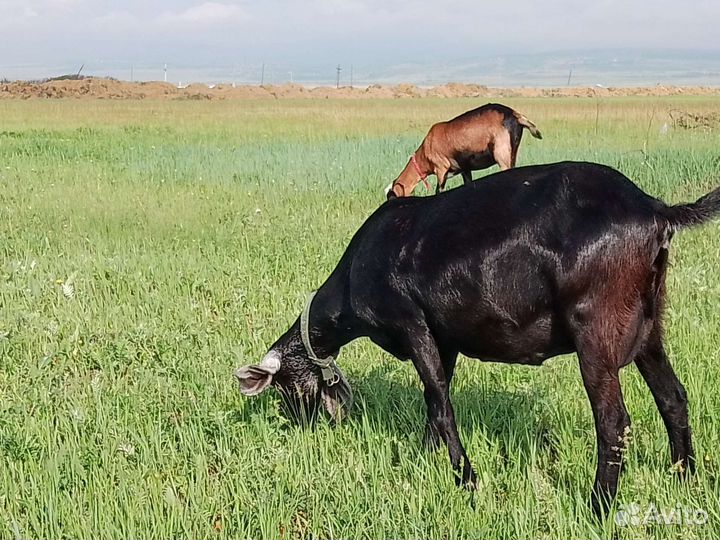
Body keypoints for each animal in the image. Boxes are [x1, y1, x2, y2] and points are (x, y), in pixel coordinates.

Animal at [236, 161, 720, 517]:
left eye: (285, 388)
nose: (302, 424)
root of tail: (654, 210)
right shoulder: (442, 337)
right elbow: (435, 399)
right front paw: (424, 462)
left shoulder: (412, 322)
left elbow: (439, 401)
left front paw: (466, 480)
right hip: (648, 323)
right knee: (673, 397)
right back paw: (684, 478)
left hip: (596, 329)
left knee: (613, 420)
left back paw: (598, 506)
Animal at [386, 103, 542, 198]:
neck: (425, 151)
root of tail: (515, 115)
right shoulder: (465, 169)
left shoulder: (441, 169)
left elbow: (438, 191)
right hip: (512, 153)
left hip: (502, 154)